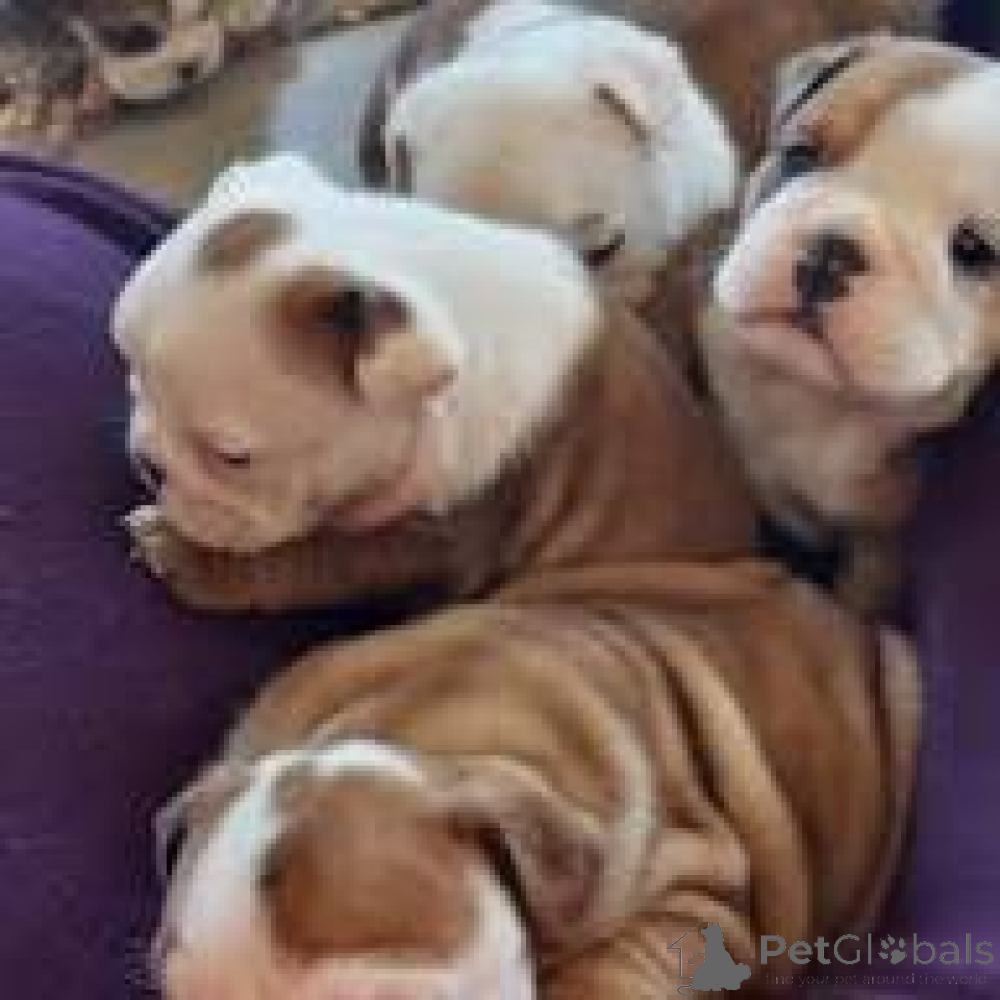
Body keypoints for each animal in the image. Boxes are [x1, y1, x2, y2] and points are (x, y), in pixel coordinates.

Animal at [115, 153, 757, 612]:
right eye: (132, 380)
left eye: (233, 457)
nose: (147, 462)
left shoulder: (439, 545)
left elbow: (321, 557)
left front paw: (183, 555)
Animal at [701, 34, 1000, 609]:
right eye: (799, 155)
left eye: (974, 250)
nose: (831, 253)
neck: (816, 398)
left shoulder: (881, 547)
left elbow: (858, 598)